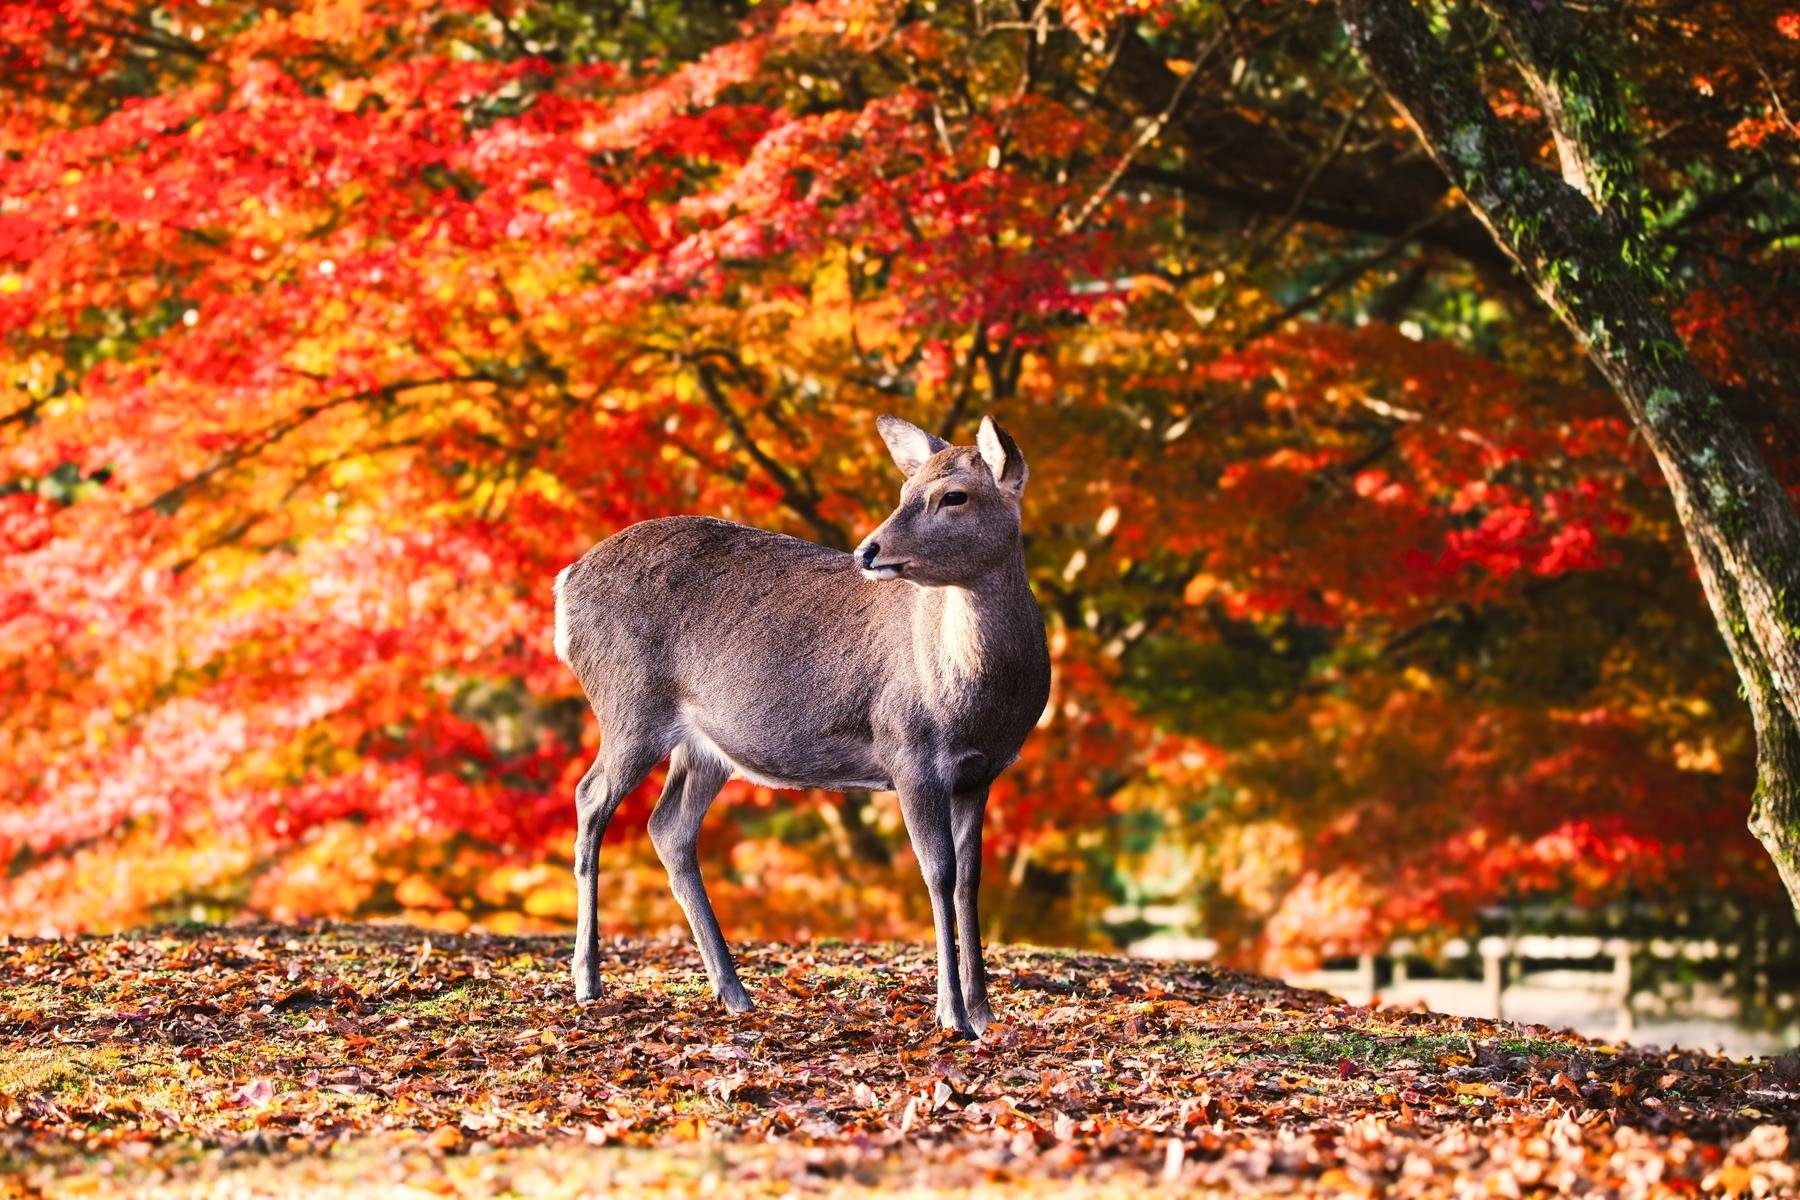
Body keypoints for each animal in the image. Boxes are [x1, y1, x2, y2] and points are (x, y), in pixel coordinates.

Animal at [551, 413, 1050, 1037]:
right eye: (906, 490)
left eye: (953, 495)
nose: (869, 550)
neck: (981, 700)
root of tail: (565, 585)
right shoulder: (909, 751)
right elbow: (937, 872)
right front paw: (950, 1013)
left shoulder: (981, 774)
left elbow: (969, 878)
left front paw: (984, 1013)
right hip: (628, 705)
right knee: (590, 796)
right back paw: (588, 980)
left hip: (704, 748)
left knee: (668, 828)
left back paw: (734, 992)